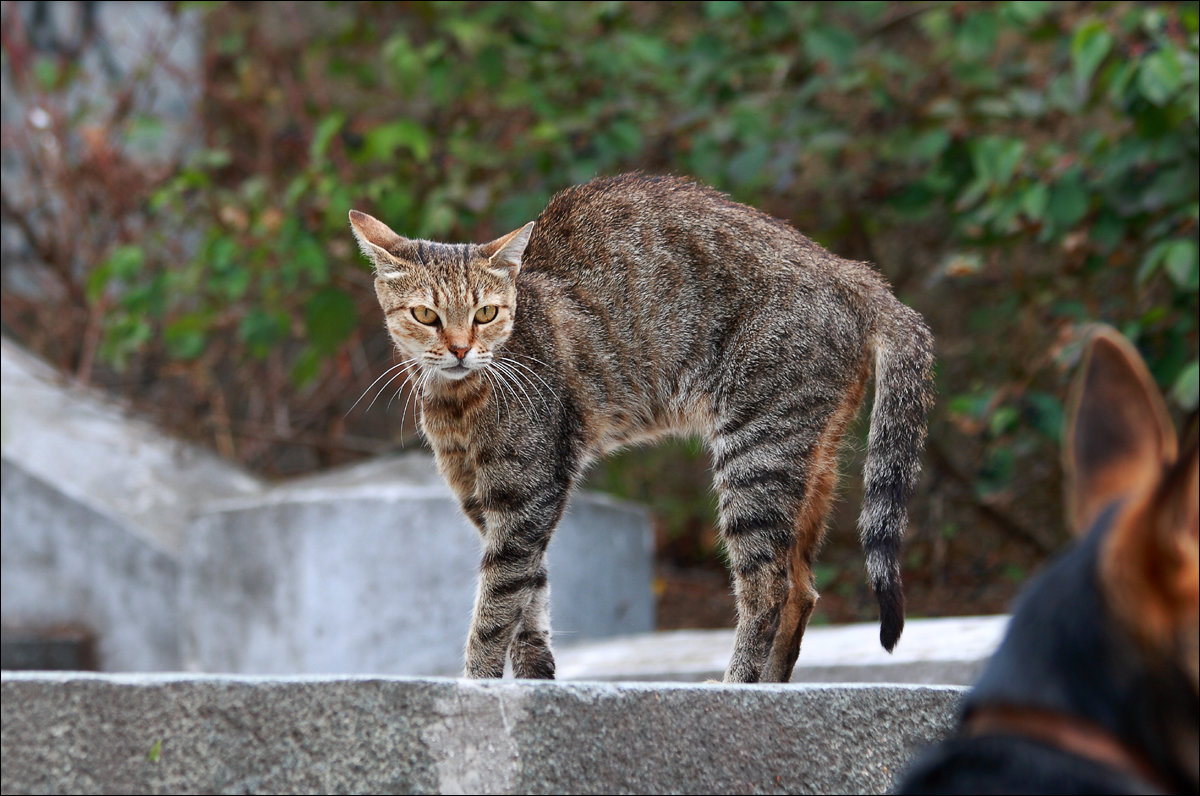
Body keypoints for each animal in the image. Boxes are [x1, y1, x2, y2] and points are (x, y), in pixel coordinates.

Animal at [350, 174, 931, 686]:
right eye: (426, 315)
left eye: (486, 313)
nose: (459, 349)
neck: (459, 402)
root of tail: (849, 269)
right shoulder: (491, 505)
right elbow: (529, 608)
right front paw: (535, 683)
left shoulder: (526, 497)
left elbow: (496, 610)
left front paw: (479, 686)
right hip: (809, 461)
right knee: (802, 590)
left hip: (756, 453)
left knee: (768, 587)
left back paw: (736, 683)